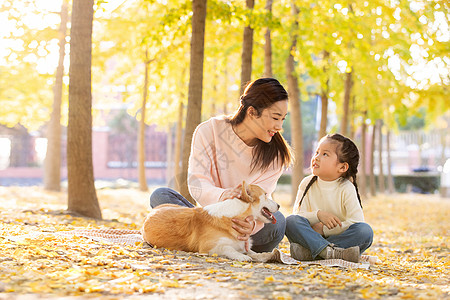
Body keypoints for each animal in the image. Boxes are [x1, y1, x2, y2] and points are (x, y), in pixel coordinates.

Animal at [142, 182, 280, 262]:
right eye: (266, 194)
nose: (279, 205)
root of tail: (148, 215)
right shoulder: (210, 247)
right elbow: (229, 249)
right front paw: (242, 256)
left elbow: (254, 252)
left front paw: (266, 255)